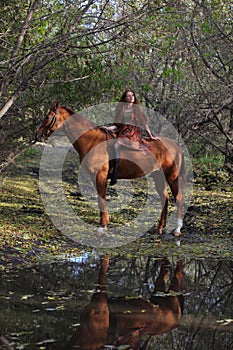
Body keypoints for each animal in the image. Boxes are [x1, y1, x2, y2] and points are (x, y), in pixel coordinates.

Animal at [36, 102, 186, 237]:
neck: (92, 140)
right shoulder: (94, 177)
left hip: (171, 175)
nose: (38, 135)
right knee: (164, 198)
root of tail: (175, 145)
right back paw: (160, 228)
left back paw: (177, 229)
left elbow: (101, 198)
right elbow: (99, 199)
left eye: (48, 117)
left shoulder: (100, 176)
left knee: (178, 197)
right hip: (158, 175)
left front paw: (102, 227)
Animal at [47, 254, 184, 350]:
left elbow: (103, 266)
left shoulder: (100, 297)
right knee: (165, 269)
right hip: (159, 291)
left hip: (172, 295)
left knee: (178, 272)